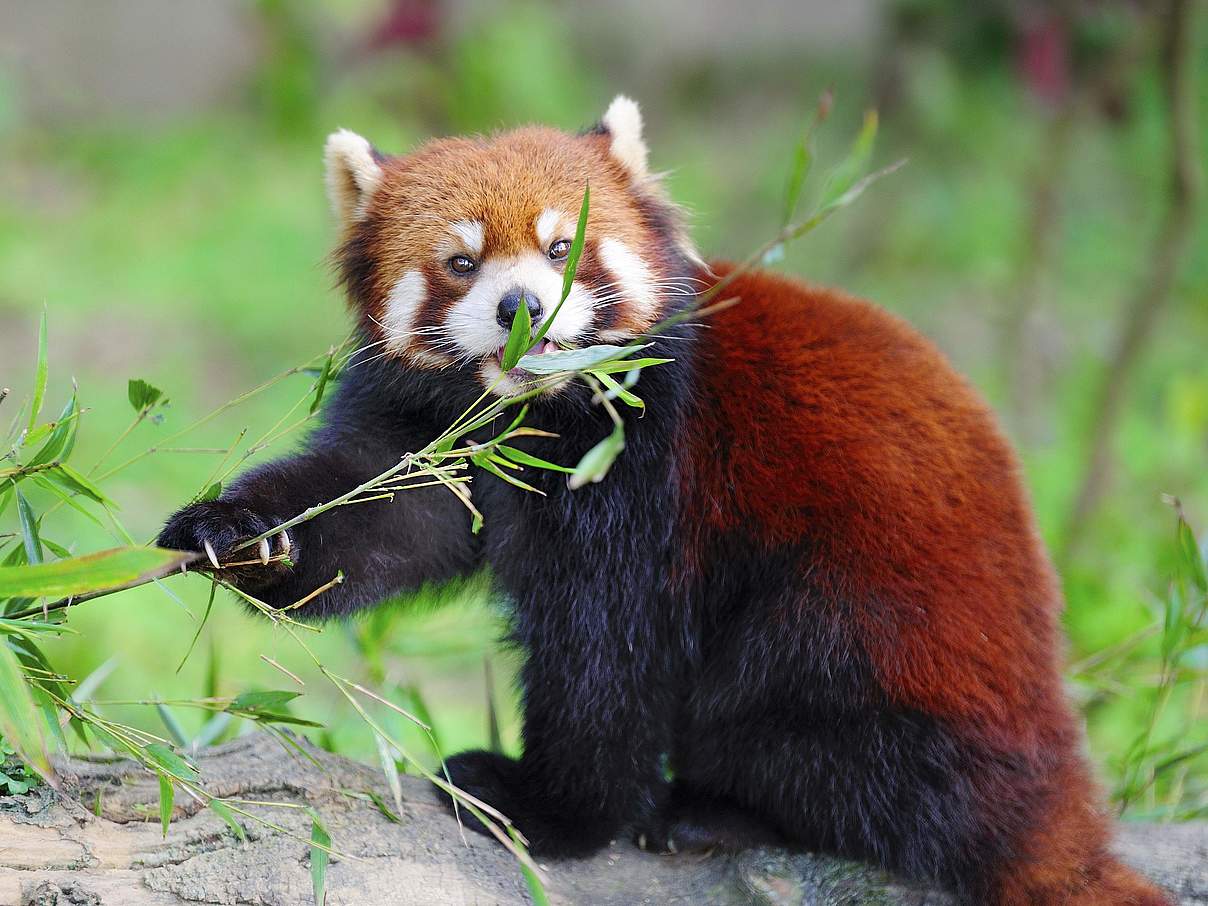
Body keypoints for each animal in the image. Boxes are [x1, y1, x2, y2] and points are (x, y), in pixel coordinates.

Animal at [158, 96, 1169, 903]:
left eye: (562, 249)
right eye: (460, 263)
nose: (522, 307)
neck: (533, 411)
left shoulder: (652, 473)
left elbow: (607, 650)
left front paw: (547, 809)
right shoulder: (430, 434)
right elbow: (377, 515)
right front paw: (243, 535)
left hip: (872, 622)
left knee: (817, 727)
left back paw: (713, 809)